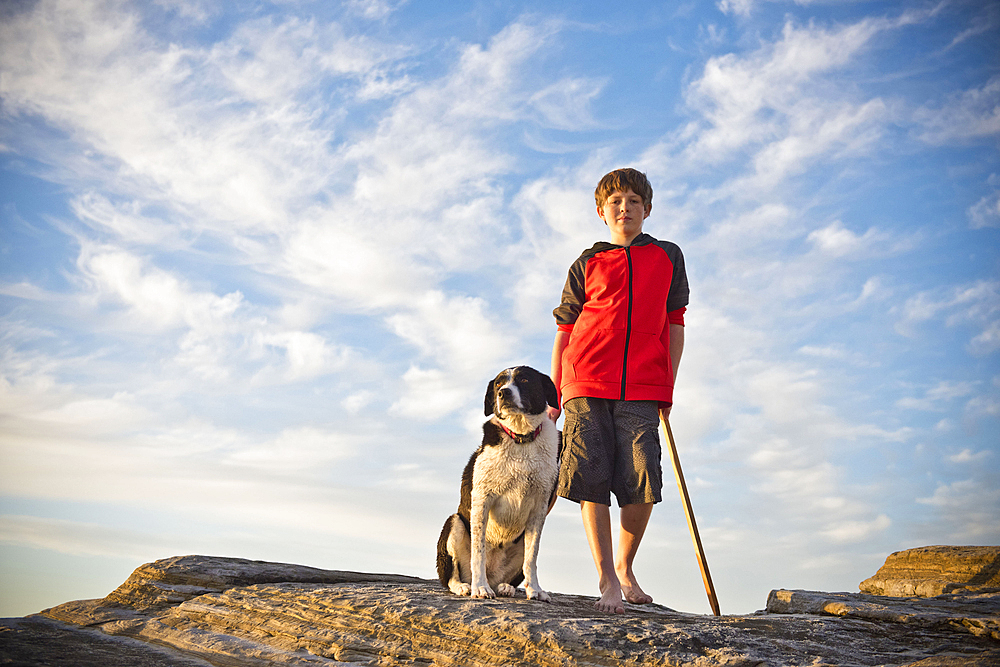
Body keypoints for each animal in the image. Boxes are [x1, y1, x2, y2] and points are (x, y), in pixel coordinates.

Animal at [438, 368, 564, 604]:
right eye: (498, 384)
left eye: (524, 379)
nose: (503, 393)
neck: (521, 439)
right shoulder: (481, 500)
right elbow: (478, 552)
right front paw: (480, 588)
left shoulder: (540, 508)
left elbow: (531, 558)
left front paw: (535, 590)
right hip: (454, 523)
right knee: (451, 576)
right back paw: (465, 586)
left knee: (512, 573)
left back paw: (505, 587)